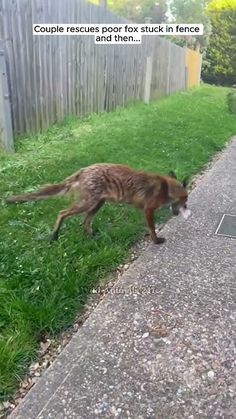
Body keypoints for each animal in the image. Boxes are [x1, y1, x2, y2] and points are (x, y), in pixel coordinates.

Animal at [6, 163, 190, 243]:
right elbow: (152, 229)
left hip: (97, 204)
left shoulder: (146, 211)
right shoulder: (148, 209)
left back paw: (92, 236)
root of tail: (84, 169)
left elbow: (149, 227)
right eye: (185, 200)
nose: (187, 208)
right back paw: (54, 235)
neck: (166, 188)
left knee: (85, 222)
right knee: (62, 213)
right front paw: (156, 240)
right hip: (88, 203)